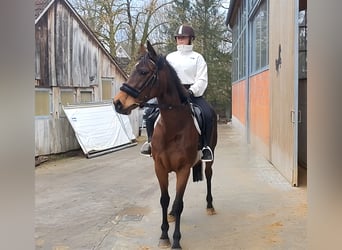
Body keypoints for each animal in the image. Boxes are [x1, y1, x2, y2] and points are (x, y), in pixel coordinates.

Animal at [113, 40, 218, 249]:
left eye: (143, 71)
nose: (118, 103)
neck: (173, 127)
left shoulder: (183, 169)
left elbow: (178, 202)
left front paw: (176, 240)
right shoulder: (160, 167)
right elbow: (165, 199)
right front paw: (163, 235)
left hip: (209, 158)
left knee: (209, 175)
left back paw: (210, 206)